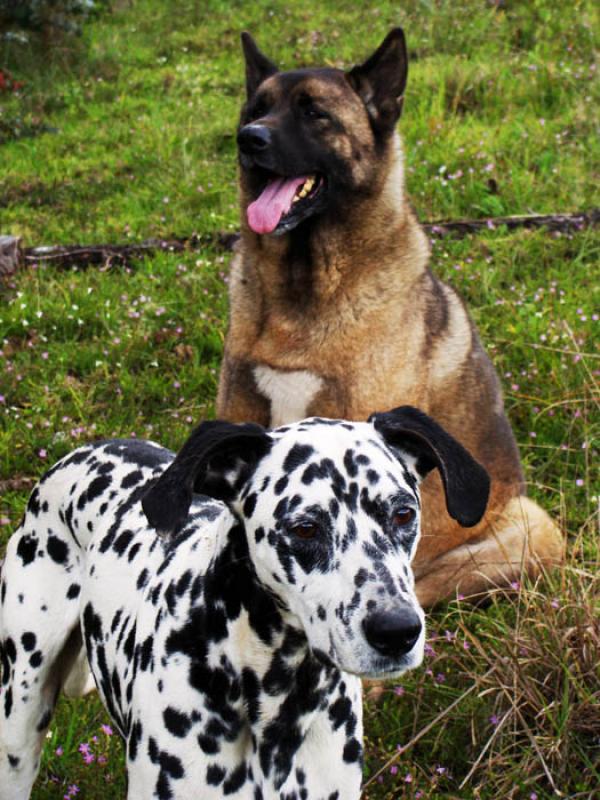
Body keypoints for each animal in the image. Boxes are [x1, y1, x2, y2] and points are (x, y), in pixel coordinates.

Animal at [0, 410, 488, 796]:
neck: (280, 702)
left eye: (403, 513)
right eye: (305, 527)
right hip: (19, 722)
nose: (397, 631)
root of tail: (83, 451)